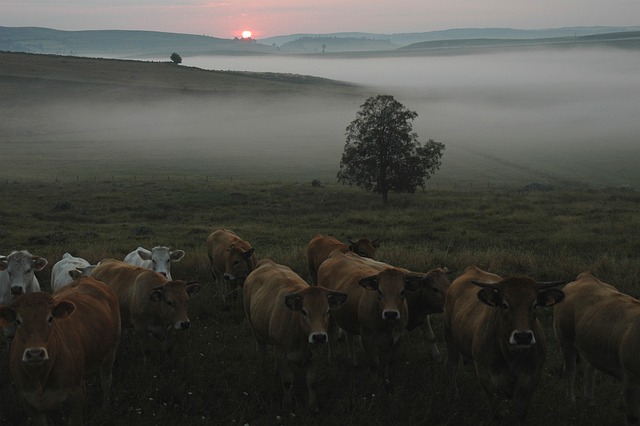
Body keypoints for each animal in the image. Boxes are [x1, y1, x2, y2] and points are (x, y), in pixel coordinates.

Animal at [0, 278, 121, 424]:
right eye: (18, 321)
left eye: (50, 318)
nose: (35, 354)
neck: (40, 378)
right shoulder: (26, 400)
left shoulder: (75, 395)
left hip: (111, 350)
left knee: (106, 380)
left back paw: (105, 409)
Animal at [244, 260, 344, 412]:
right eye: (303, 311)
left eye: (327, 311)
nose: (319, 337)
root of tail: (267, 262)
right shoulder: (282, 354)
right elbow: (287, 381)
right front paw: (287, 404)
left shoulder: (315, 354)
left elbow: (312, 381)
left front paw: (313, 406)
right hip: (254, 328)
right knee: (261, 350)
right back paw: (263, 370)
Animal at [316, 250, 422, 382]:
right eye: (379, 291)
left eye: (402, 292)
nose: (390, 313)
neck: (386, 326)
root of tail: (337, 254)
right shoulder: (366, 338)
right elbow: (374, 363)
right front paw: (374, 381)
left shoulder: (398, 337)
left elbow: (390, 361)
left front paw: (388, 379)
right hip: (329, 315)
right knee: (330, 335)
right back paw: (332, 359)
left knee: (349, 336)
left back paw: (353, 361)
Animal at [442, 264, 564, 424]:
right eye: (504, 305)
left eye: (535, 304)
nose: (523, 337)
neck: (512, 358)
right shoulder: (489, 382)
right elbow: (498, 414)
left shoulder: (529, 382)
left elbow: (520, 415)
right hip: (449, 337)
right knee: (451, 365)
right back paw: (453, 393)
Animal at [552, 272, 640, 422]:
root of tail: (586, 277)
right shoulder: (631, 381)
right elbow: (633, 417)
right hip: (566, 338)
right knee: (570, 370)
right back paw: (571, 400)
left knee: (589, 369)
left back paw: (589, 402)